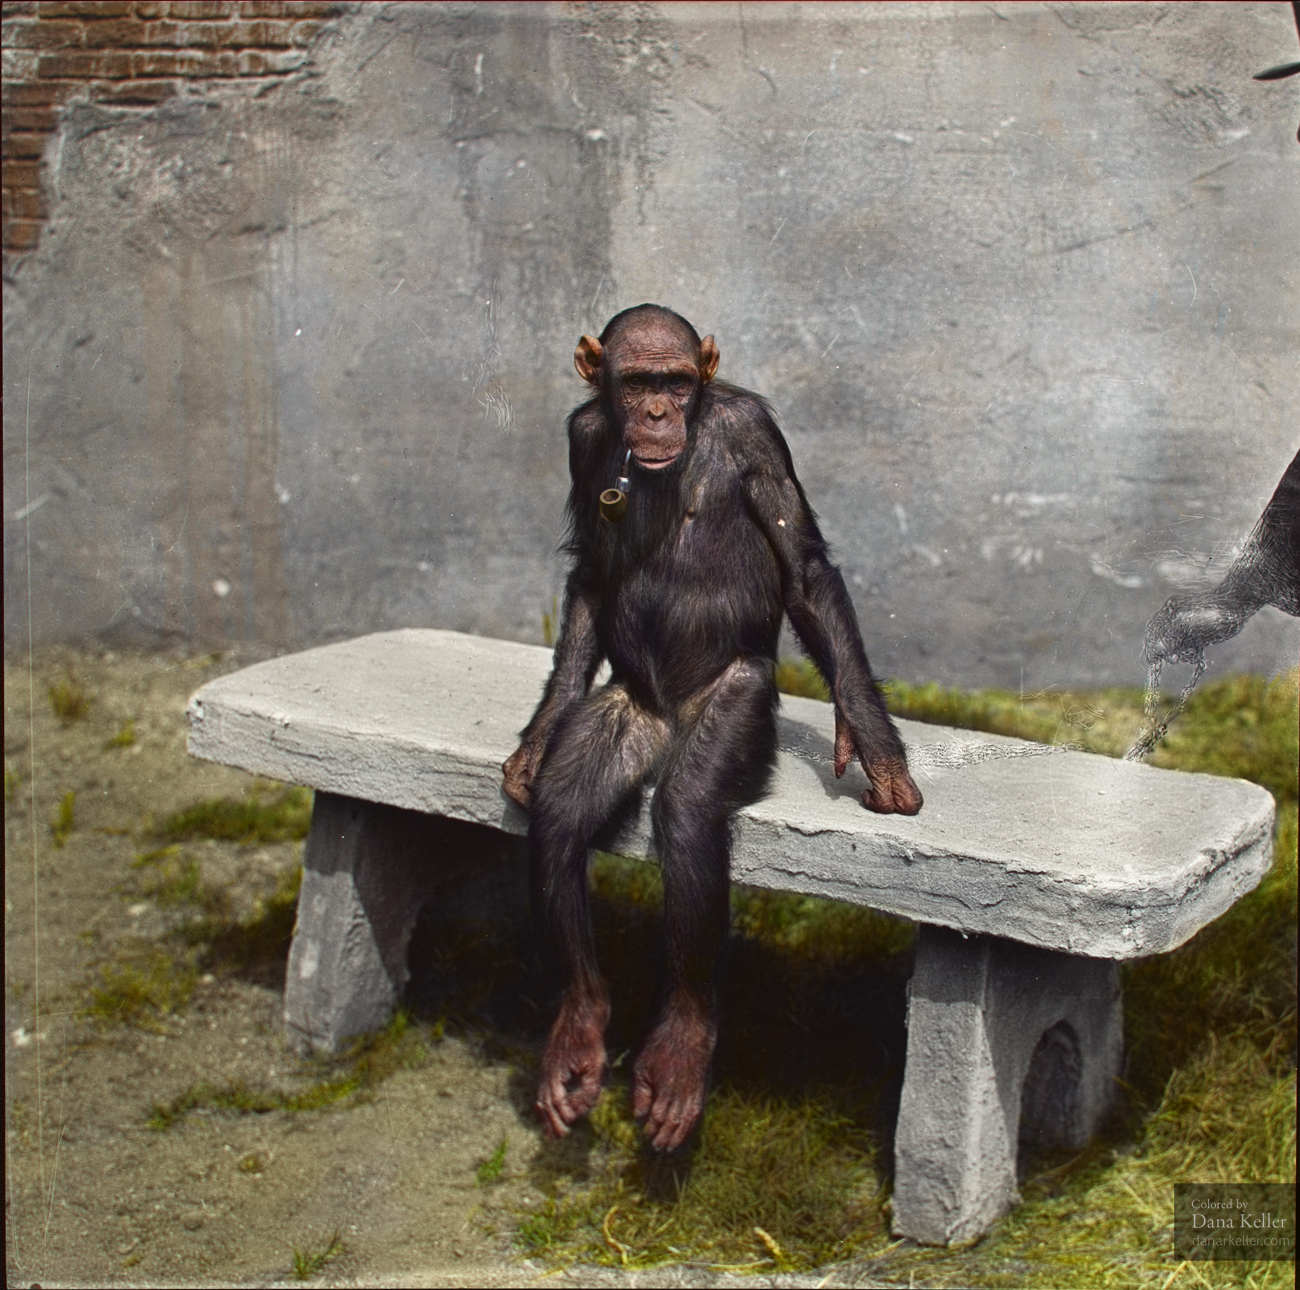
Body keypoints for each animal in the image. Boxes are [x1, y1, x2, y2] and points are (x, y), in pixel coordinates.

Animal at [501, 301, 920, 1149]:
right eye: (636, 383)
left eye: (676, 382)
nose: (660, 413)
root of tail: (664, 723)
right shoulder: (582, 436)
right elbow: (592, 573)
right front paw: (533, 744)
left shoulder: (756, 433)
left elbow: (803, 568)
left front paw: (875, 748)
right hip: (625, 710)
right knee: (564, 807)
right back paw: (580, 1024)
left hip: (731, 705)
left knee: (689, 808)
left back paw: (683, 1048)